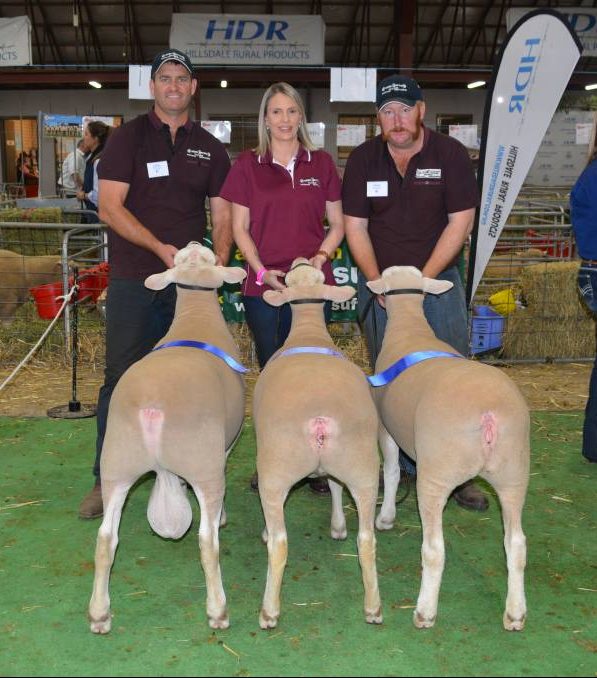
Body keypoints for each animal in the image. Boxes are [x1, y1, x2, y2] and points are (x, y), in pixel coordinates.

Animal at [87, 242, 246, 636]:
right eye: (208, 259)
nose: (194, 244)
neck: (195, 318)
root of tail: (152, 409)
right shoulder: (226, 446)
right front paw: (223, 516)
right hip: (202, 463)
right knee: (206, 540)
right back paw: (218, 611)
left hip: (117, 462)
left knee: (105, 539)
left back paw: (99, 614)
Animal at [253, 258, 382, 628]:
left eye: (293, 278)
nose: (298, 260)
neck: (308, 331)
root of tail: (320, 421)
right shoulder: (339, 468)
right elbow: (335, 486)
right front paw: (337, 526)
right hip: (363, 467)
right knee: (367, 540)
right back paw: (373, 607)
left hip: (275, 470)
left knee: (280, 542)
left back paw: (269, 611)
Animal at [368, 264, 532, 632]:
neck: (410, 330)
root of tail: (488, 416)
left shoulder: (386, 428)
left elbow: (392, 470)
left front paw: (386, 517)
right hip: (514, 474)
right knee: (516, 545)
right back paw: (515, 612)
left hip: (437, 475)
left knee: (434, 549)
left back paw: (425, 610)